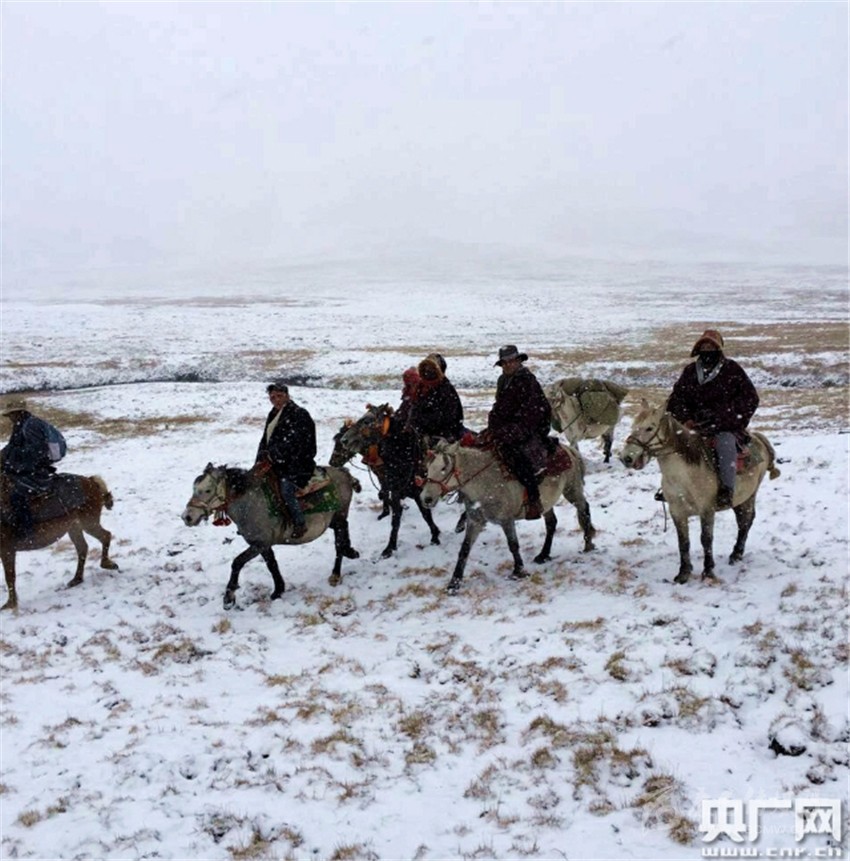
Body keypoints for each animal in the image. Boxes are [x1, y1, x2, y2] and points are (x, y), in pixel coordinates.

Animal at [0, 473, 119, 611]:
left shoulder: (7, 549)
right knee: (83, 547)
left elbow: (10, 576)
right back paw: (76, 579)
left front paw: (10, 604)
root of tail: (91, 481)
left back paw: (107, 564)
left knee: (105, 536)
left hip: (88, 522)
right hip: (74, 526)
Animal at [181, 463, 360, 609]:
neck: (249, 503)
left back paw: (336, 573)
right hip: (334, 520)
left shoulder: (259, 544)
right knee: (344, 533)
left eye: (207, 490)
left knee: (339, 542)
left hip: (339, 516)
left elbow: (237, 562)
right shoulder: (264, 545)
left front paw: (228, 598)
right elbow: (272, 565)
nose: (187, 517)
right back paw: (351, 552)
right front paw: (278, 590)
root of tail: (344, 473)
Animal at [330, 404, 441, 558]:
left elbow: (425, 514)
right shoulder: (390, 484)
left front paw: (435, 535)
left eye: (367, 421)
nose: (332, 462)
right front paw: (389, 546)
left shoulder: (415, 489)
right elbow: (392, 511)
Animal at [420, 440, 596, 594]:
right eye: (427, 468)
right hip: (546, 503)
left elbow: (513, 545)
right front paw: (454, 584)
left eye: (443, 468)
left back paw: (588, 543)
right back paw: (543, 555)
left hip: (572, 490)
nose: (426, 499)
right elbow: (464, 550)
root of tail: (569, 449)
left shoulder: (506, 520)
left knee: (584, 509)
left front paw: (519, 571)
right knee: (551, 523)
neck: (484, 482)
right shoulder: (475, 521)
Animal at [619, 400, 781, 584]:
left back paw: (736, 554)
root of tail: (758, 438)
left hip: (749, 495)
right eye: (633, 426)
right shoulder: (677, 511)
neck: (684, 476)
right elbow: (683, 541)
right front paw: (683, 573)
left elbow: (706, 539)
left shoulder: (707, 510)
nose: (626, 458)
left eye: (649, 428)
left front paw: (708, 571)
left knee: (745, 521)